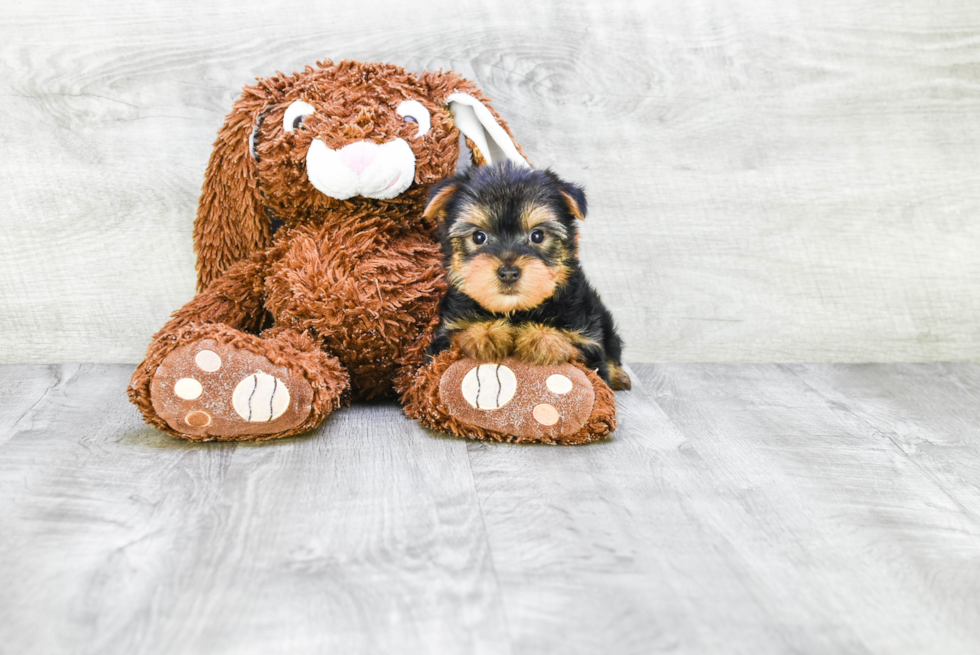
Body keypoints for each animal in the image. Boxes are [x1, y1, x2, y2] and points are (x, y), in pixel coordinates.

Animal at [424, 162, 632, 392]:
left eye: (537, 235)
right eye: (478, 237)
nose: (508, 273)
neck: (516, 311)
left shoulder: (587, 338)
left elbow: (579, 351)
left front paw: (541, 339)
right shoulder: (444, 334)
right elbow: (455, 337)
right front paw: (485, 333)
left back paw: (620, 375)